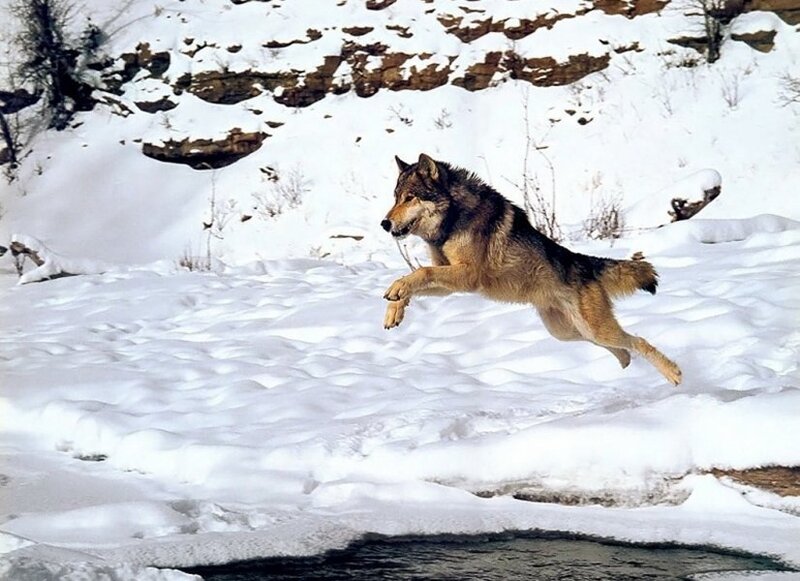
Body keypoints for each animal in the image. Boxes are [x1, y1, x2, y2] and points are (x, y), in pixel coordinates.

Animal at [380, 153, 682, 386]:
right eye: (395, 198)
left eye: (410, 198)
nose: (384, 223)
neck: (452, 219)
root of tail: (582, 261)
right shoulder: (448, 276)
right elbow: (413, 280)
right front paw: (395, 308)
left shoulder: (468, 275)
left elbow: (420, 273)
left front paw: (396, 292)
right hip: (569, 332)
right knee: (622, 348)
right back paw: (627, 366)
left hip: (593, 329)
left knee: (637, 340)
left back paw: (673, 373)